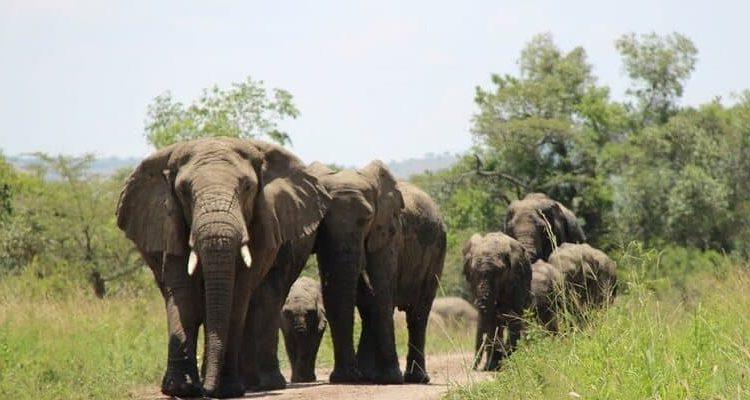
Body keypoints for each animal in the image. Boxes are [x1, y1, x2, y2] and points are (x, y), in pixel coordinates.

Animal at [115, 138, 330, 398]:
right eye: (183, 191)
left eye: (247, 187)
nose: (206, 390)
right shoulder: (171, 225)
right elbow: (184, 294)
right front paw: (181, 389)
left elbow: (238, 296)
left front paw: (225, 390)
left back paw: (260, 384)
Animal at [463, 232, 531, 371]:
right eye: (473, 273)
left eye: (498, 273)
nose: (473, 367)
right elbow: (491, 321)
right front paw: (494, 365)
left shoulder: (516, 279)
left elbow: (514, 316)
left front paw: (507, 363)